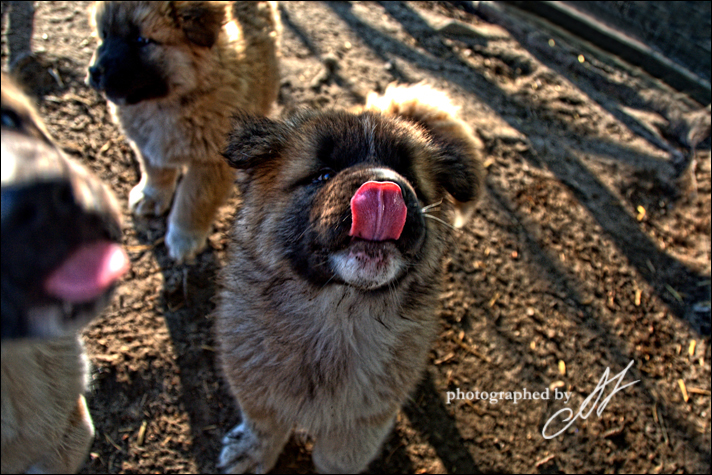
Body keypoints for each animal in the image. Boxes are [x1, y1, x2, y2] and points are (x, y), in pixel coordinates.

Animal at [86, 0, 280, 262]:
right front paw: (151, 196)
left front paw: (184, 238)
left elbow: (193, 201)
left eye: (141, 40)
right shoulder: (146, 143)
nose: (94, 72)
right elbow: (155, 171)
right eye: (105, 34)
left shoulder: (209, 164)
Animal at [214, 83, 486, 474]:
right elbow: (263, 426)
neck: (338, 314)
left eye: (413, 181)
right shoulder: (257, 390)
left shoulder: (361, 426)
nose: (386, 187)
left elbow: (335, 459)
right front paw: (252, 454)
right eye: (323, 174)